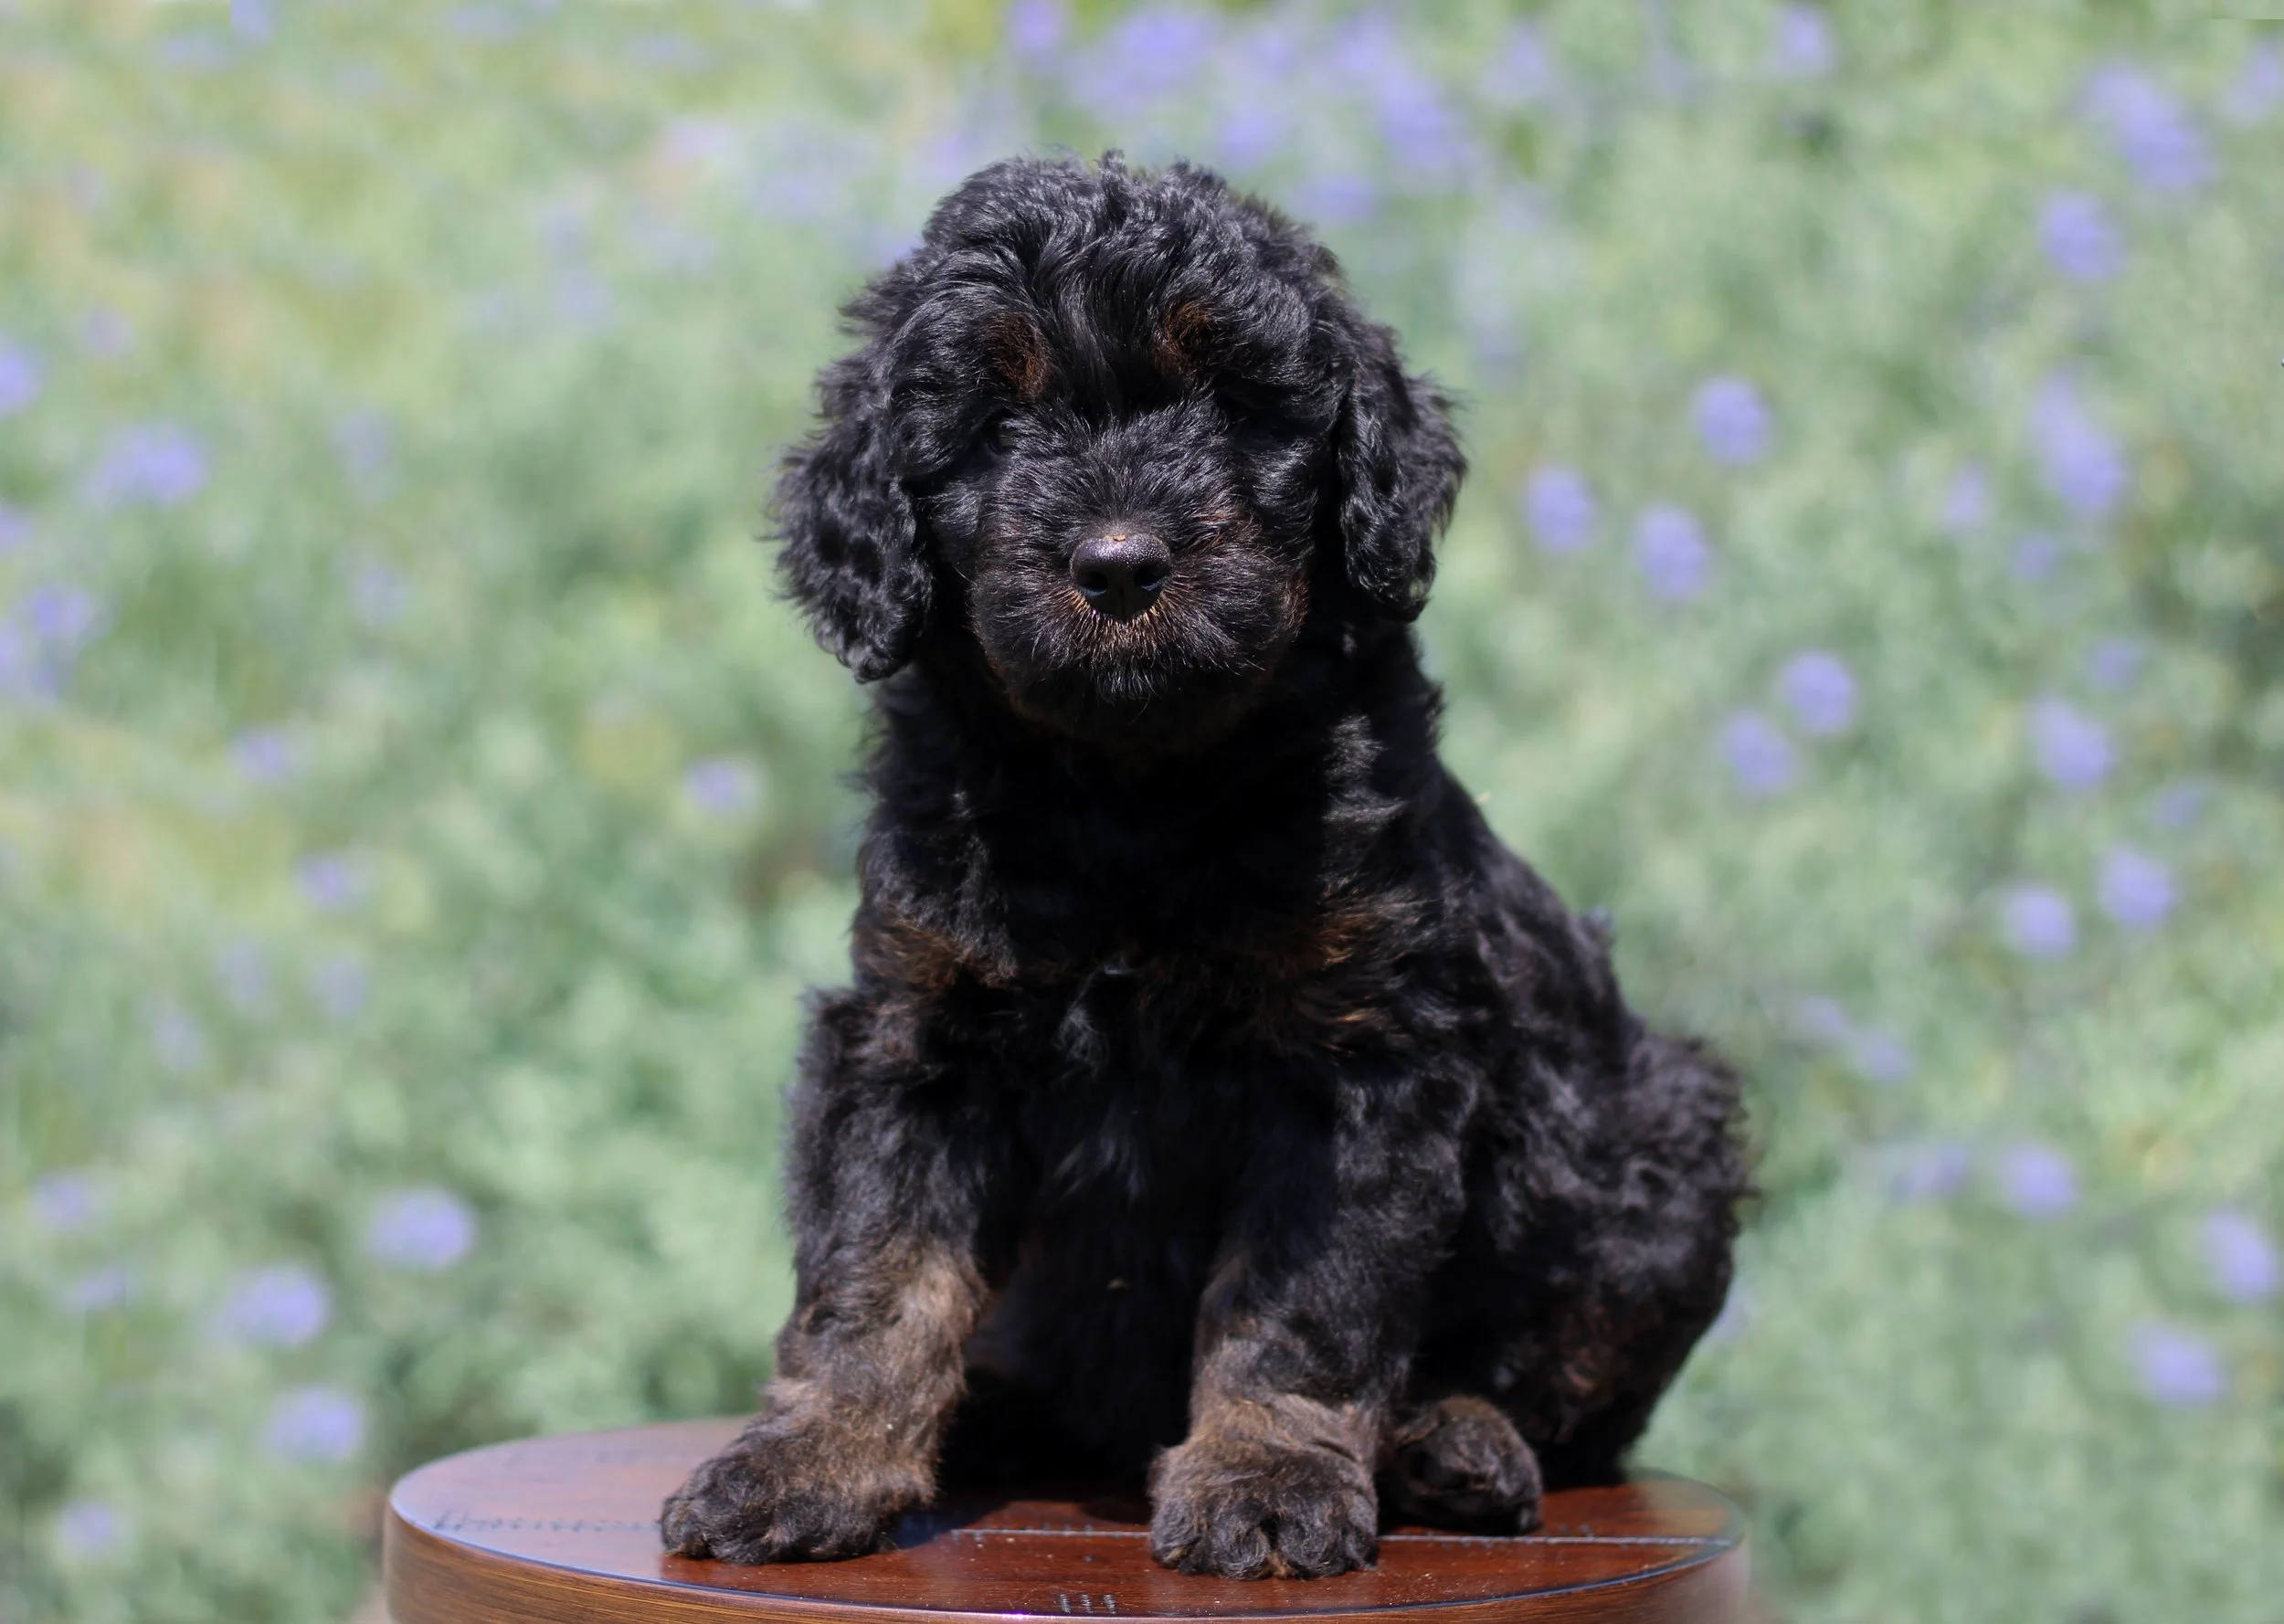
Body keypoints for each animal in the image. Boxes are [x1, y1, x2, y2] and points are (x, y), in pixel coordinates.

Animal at [661, 153, 1747, 1581]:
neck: (1134, 789)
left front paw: (1267, 1476)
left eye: (1233, 403)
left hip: (1659, 1144)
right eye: (994, 424)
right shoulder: (915, 1029)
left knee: (1575, 1404)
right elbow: (876, 1267)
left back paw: (1452, 1443)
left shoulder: (1358, 1055)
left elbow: (1301, 1296)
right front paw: (813, 1459)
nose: (1121, 564)